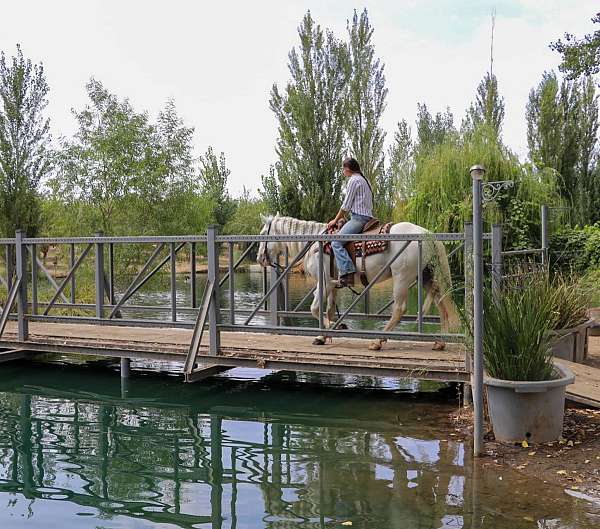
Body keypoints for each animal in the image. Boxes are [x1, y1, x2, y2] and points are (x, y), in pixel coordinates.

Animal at [256, 212, 460, 348]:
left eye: (262, 234)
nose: (259, 258)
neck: (315, 246)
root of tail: (428, 235)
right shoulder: (333, 285)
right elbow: (329, 310)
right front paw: (324, 336)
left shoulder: (323, 282)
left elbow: (315, 309)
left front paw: (333, 329)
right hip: (427, 275)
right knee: (441, 302)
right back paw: (440, 342)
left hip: (402, 277)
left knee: (400, 309)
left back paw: (378, 341)